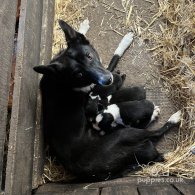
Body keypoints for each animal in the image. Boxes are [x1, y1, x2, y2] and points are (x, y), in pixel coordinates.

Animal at [34, 20, 181, 182]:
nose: (107, 80)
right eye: (78, 74)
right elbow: (114, 58)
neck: (61, 79)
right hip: (127, 133)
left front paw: (84, 27)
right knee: (154, 132)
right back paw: (170, 117)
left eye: (89, 55)